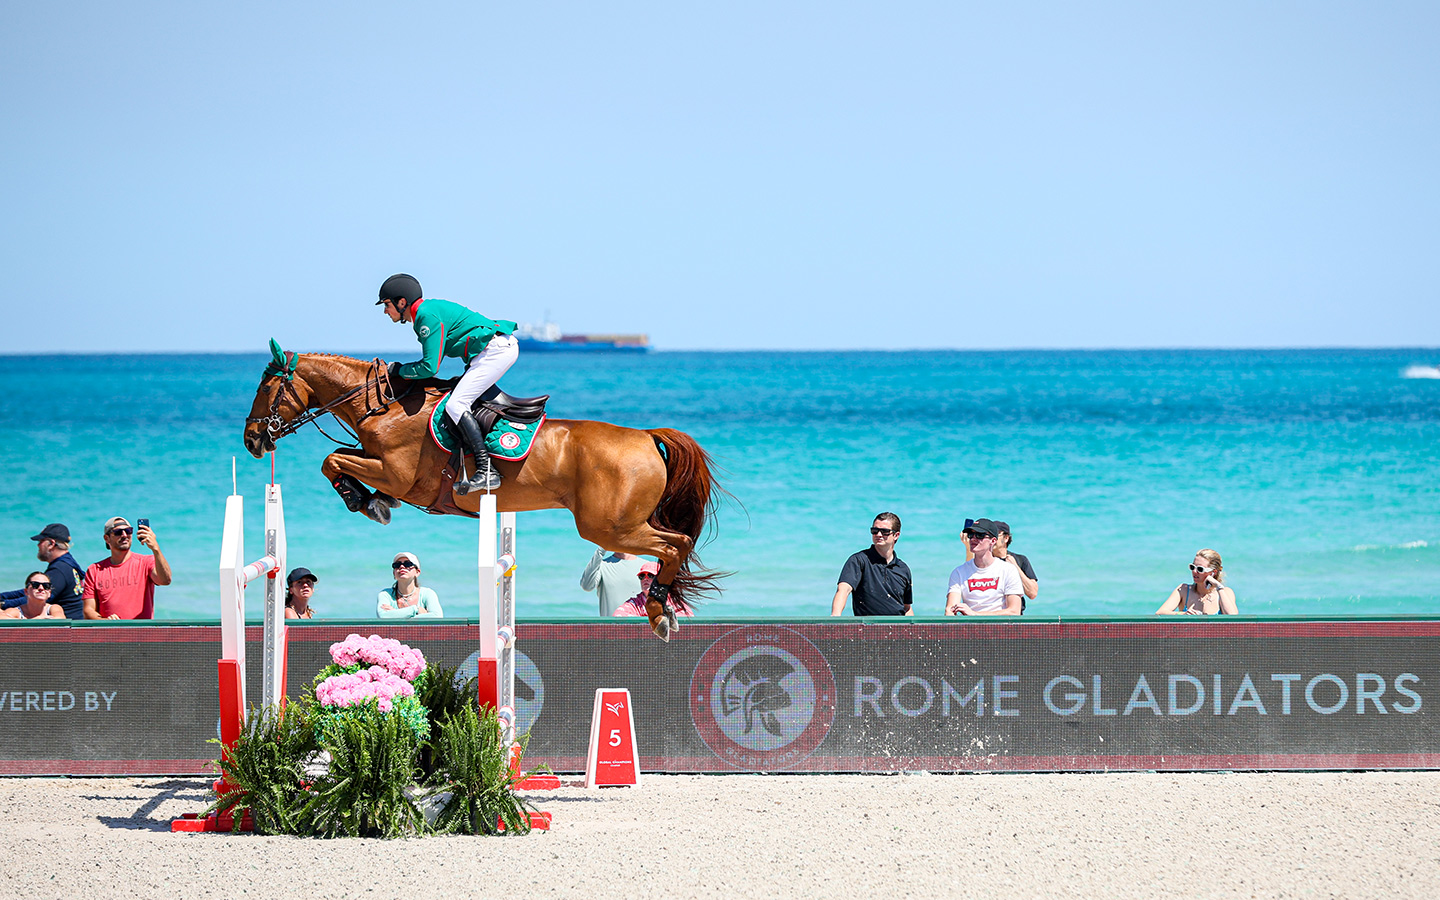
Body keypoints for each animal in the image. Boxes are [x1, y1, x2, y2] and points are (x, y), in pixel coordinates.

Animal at [241, 340, 724, 639]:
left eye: (267, 387)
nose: (251, 440)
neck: (383, 407)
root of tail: (645, 436)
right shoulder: (377, 461)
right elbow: (338, 455)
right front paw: (370, 499)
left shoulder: (397, 474)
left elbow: (333, 460)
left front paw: (365, 500)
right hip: (619, 525)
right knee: (677, 544)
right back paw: (665, 611)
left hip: (609, 528)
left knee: (675, 544)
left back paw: (659, 612)